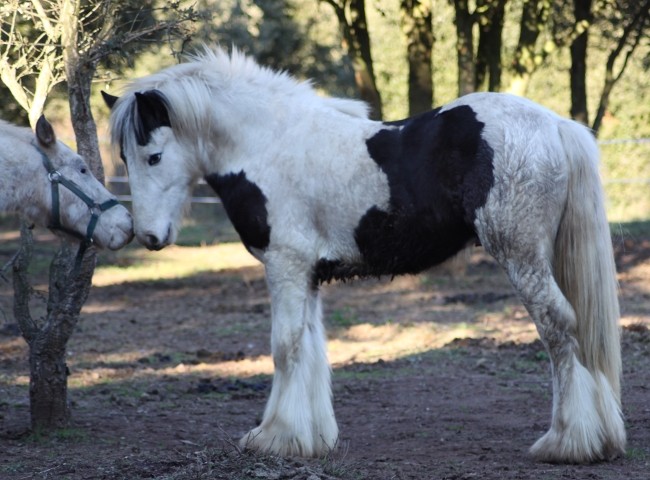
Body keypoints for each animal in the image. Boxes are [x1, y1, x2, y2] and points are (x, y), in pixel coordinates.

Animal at [104, 47, 624, 464]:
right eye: (126, 159)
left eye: (153, 156)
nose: (147, 236)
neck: (267, 143)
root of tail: (554, 125)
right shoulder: (308, 274)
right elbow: (312, 349)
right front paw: (310, 438)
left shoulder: (285, 265)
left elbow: (285, 346)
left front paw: (274, 437)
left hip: (522, 257)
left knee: (558, 329)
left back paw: (567, 443)